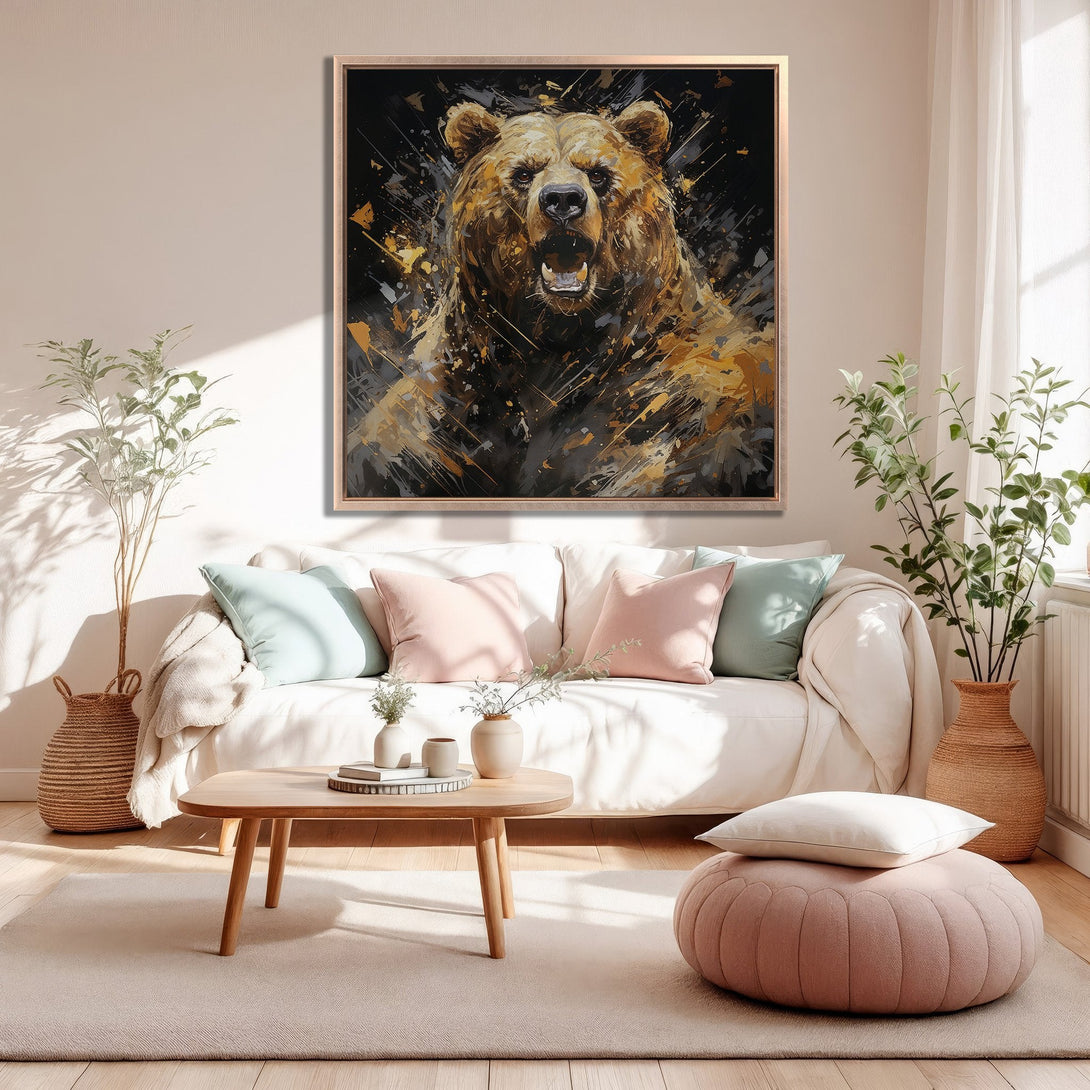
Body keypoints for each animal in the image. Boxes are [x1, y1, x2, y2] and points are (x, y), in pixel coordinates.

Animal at [348, 98, 775, 499]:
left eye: (598, 173)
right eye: (523, 172)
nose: (564, 200)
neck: (559, 336)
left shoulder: (674, 398)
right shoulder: (453, 392)